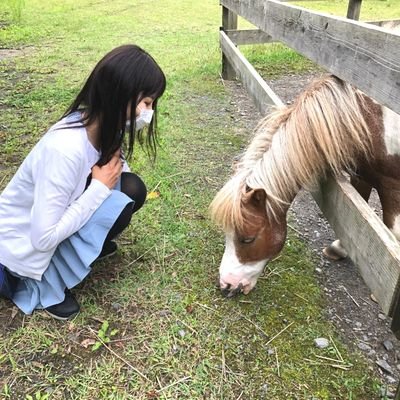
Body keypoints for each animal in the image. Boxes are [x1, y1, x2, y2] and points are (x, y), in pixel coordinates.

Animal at [209, 74, 400, 296]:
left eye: (248, 239)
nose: (227, 285)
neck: (373, 121)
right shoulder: (362, 173)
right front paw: (339, 247)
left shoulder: (393, 188)